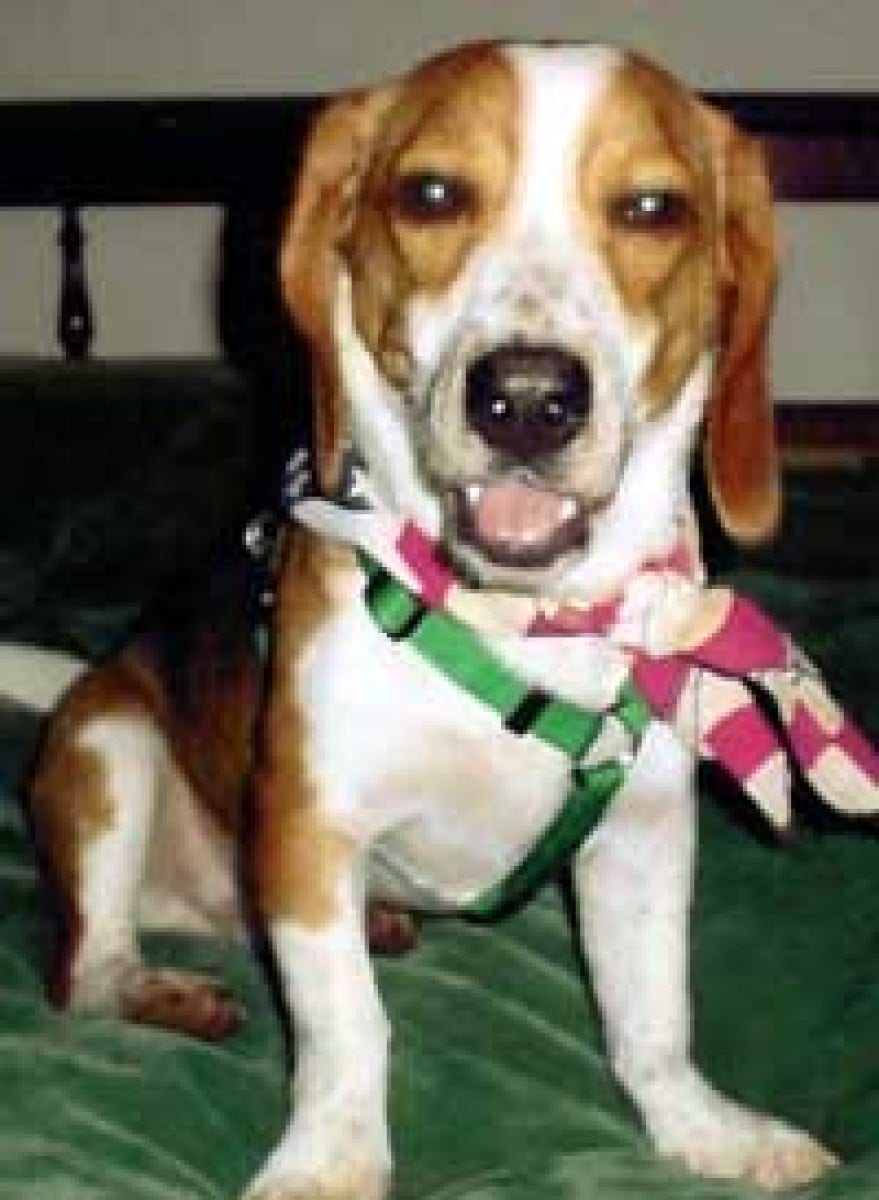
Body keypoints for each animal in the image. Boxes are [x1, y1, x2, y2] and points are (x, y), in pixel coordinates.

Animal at [22, 40, 842, 1199]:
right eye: (432, 195)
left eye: (652, 209)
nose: (529, 398)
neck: (516, 621)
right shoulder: (310, 829)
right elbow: (346, 1030)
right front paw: (331, 1159)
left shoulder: (642, 836)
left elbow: (650, 1022)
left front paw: (702, 1130)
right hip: (113, 746)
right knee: (87, 974)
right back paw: (161, 990)